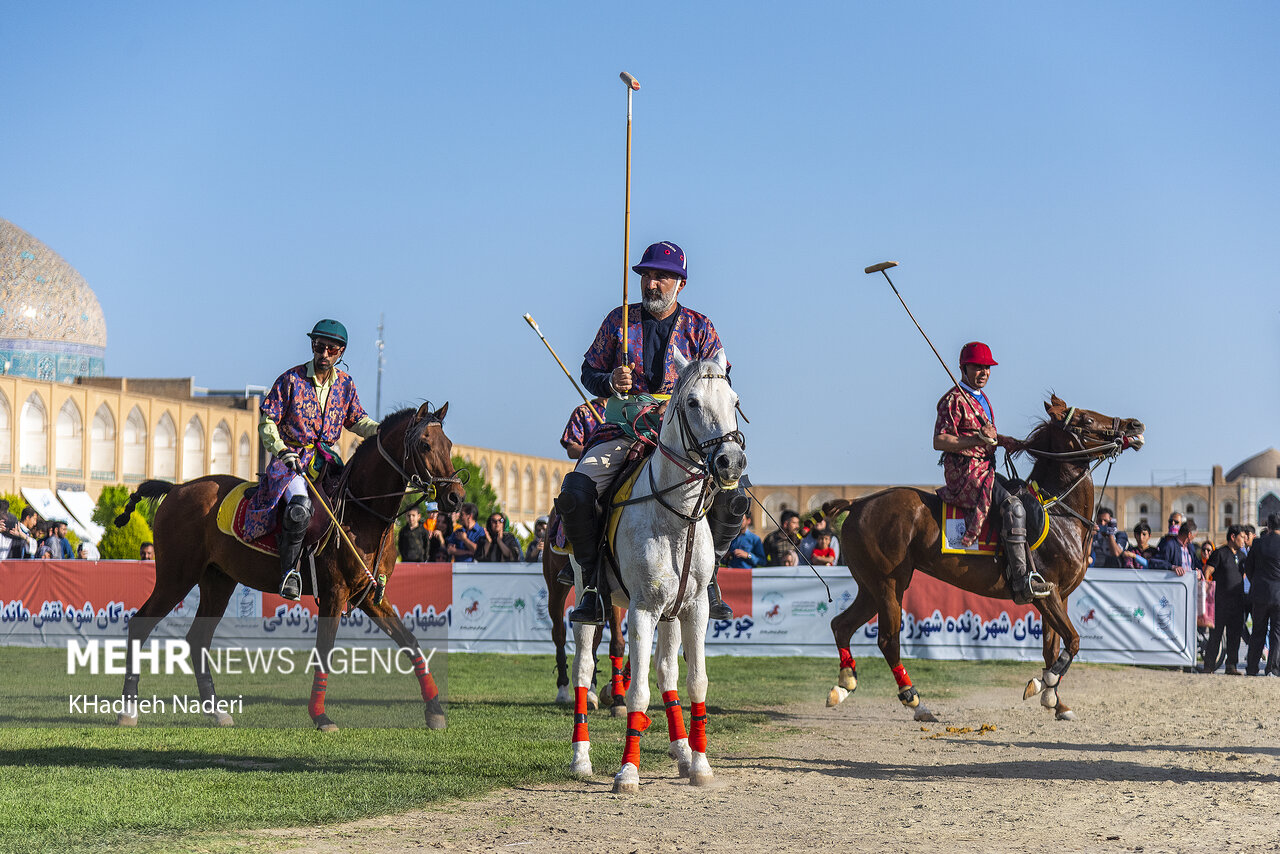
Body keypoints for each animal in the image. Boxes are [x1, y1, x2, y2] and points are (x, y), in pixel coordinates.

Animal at [113, 404, 465, 732]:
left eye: (448, 444)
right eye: (424, 444)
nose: (455, 496)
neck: (362, 514)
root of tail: (175, 489)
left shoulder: (369, 594)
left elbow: (409, 641)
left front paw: (435, 709)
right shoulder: (335, 593)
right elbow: (324, 651)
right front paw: (320, 715)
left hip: (218, 580)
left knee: (198, 639)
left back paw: (216, 711)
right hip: (177, 576)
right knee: (140, 625)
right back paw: (128, 710)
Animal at [542, 535, 627, 717]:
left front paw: (616, 696)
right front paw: (617, 699)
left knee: (594, 641)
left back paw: (591, 692)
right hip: (555, 588)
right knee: (559, 634)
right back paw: (564, 690)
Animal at [565, 348, 747, 793]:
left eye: (734, 402)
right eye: (693, 402)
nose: (730, 463)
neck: (676, 514)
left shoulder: (694, 608)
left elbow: (694, 681)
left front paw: (699, 764)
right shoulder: (641, 609)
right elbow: (637, 693)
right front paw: (627, 772)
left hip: (671, 612)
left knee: (666, 672)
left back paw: (681, 750)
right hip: (587, 596)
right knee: (582, 667)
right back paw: (580, 757)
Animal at [824, 396, 1146, 722]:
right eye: (1087, 420)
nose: (1135, 424)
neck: (1058, 512)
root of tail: (858, 502)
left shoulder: (1060, 595)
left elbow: (1053, 647)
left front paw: (1055, 701)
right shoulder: (1045, 592)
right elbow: (1073, 640)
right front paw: (1044, 682)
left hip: (870, 585)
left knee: (842, 625)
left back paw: (844, 684)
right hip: (889, 583)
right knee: (888, 640)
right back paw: (915, 701)